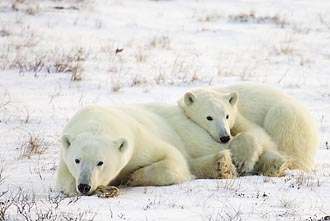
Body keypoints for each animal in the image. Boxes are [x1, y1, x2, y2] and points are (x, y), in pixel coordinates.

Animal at [56, 103, 248, 195]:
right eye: (77, 160)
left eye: (100, 162)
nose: (84, 186)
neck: (97, 121)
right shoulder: (64, 157)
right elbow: (63, 181)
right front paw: (104, 189)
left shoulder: (139, 140)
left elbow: (172, 159)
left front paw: (132, 177)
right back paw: (221, 165)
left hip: (184, 128)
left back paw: (224, 164)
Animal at [178, 83, 320, 176]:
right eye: (209, 117)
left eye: (227, 116)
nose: (224, 137)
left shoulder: (237, 116)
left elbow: (261, 136)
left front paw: (242, 162)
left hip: (291, 120)